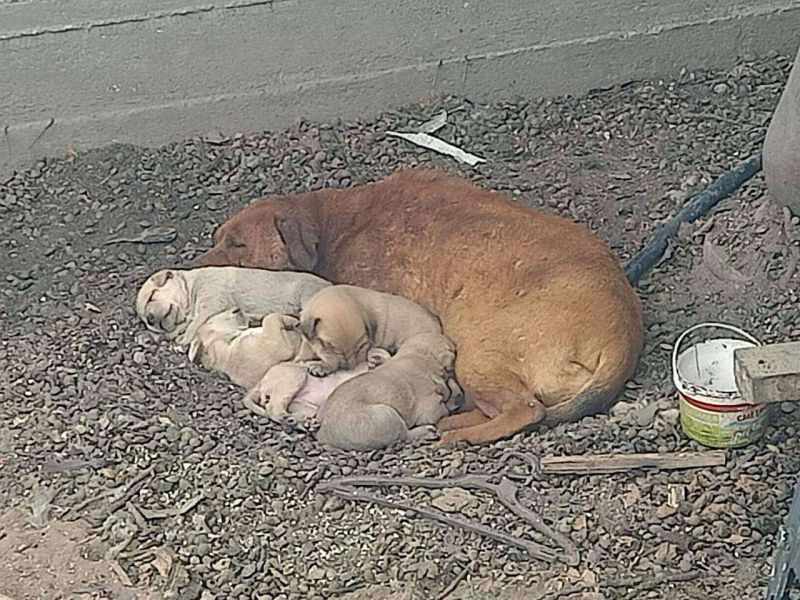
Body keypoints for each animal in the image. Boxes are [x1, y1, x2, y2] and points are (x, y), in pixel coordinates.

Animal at [136, 268, 330, 346]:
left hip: (307, 295)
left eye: (152, 295)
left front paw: (182, 339)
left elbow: (194, 323)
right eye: (146, 321)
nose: (151, 319)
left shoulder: (211, 299)